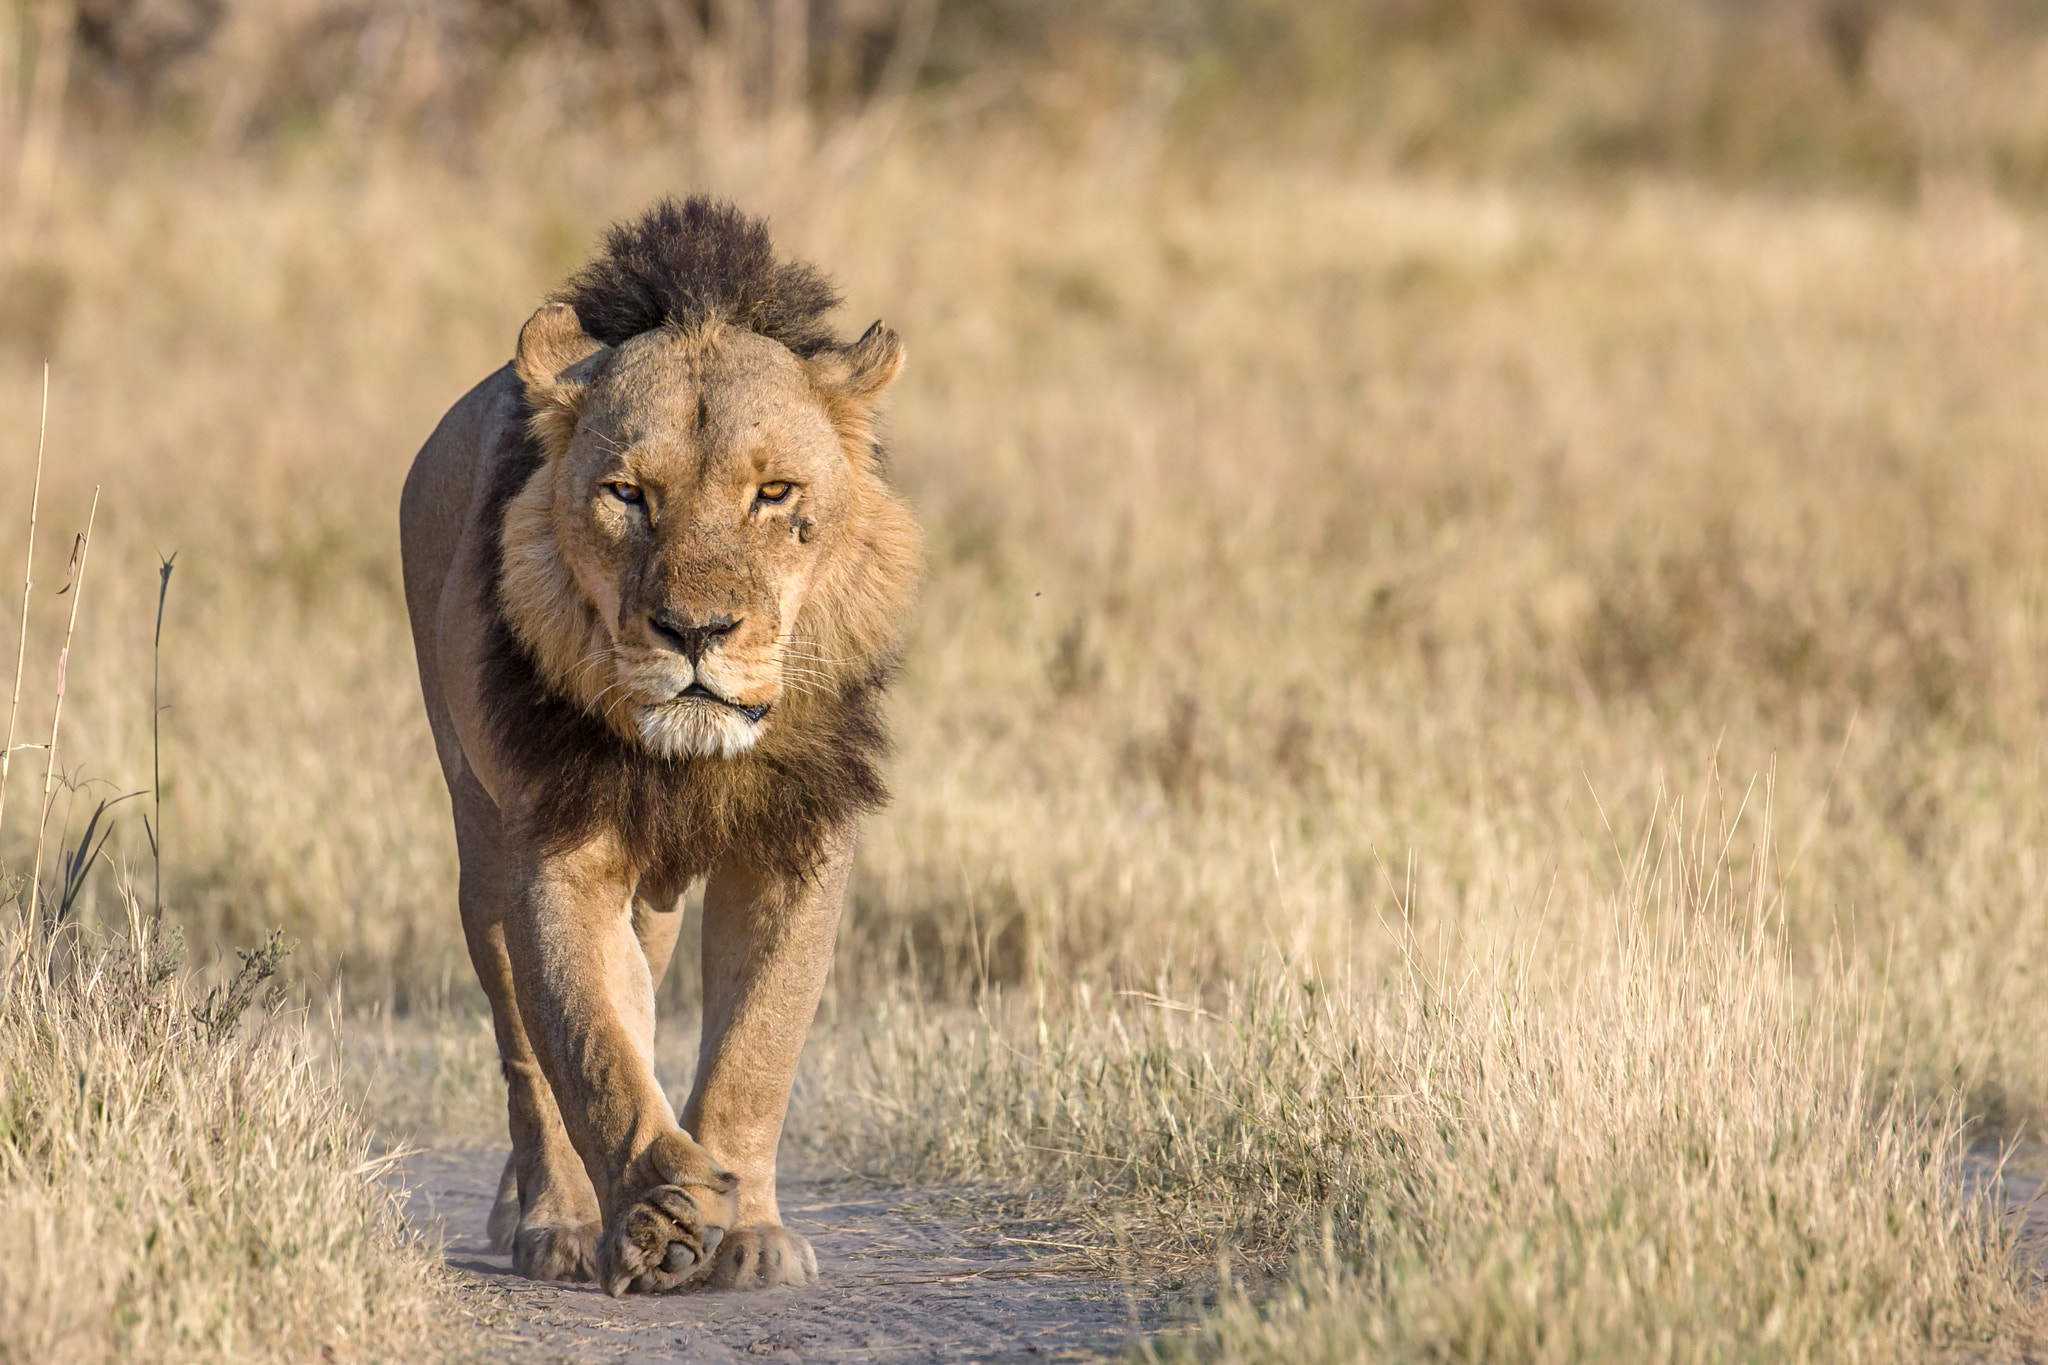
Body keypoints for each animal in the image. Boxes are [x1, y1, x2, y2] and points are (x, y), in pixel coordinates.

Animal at [397, 197, 921, 1301]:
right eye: (628, 494)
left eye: (775, 493)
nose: (694, 630)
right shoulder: (555, 851)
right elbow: (590, 1046)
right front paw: (658, 1211)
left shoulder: (795, 844)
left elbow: (755, 1047)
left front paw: (751, 1234)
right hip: (481, 844)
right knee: (528, 1054)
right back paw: (555, 1220)